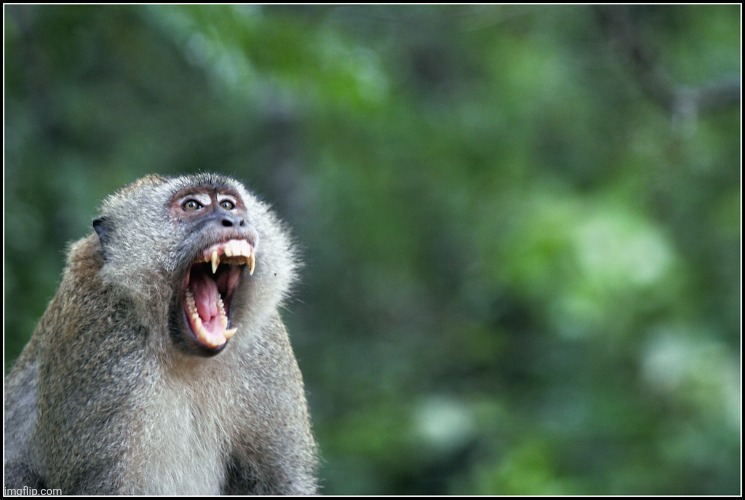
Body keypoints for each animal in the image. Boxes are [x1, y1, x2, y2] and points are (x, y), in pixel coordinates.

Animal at [4, 173, 318, 494]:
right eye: (192, 205)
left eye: (229, 204)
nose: (235, 220)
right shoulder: (100, 344)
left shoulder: (266, 348)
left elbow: (279, 483)